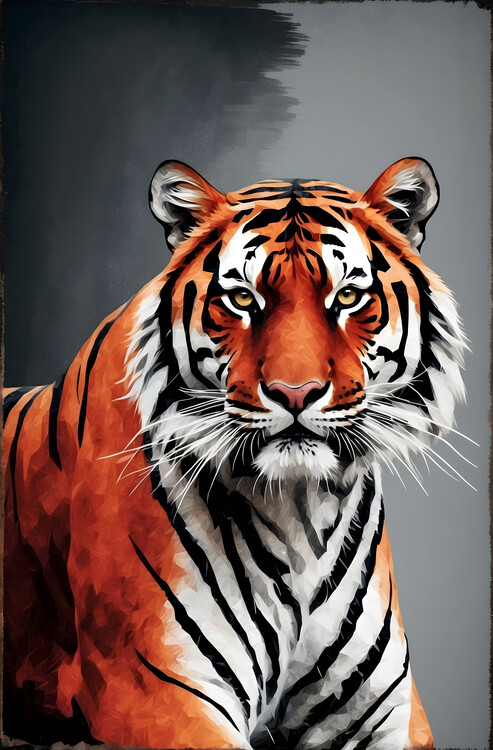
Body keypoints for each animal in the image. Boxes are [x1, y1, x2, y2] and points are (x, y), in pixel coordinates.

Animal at [3, 156, 466, 749]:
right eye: (243, 299)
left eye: (347, 298)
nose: (296, 392)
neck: (300, 514)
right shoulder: (154, 690)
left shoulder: (389, 710)